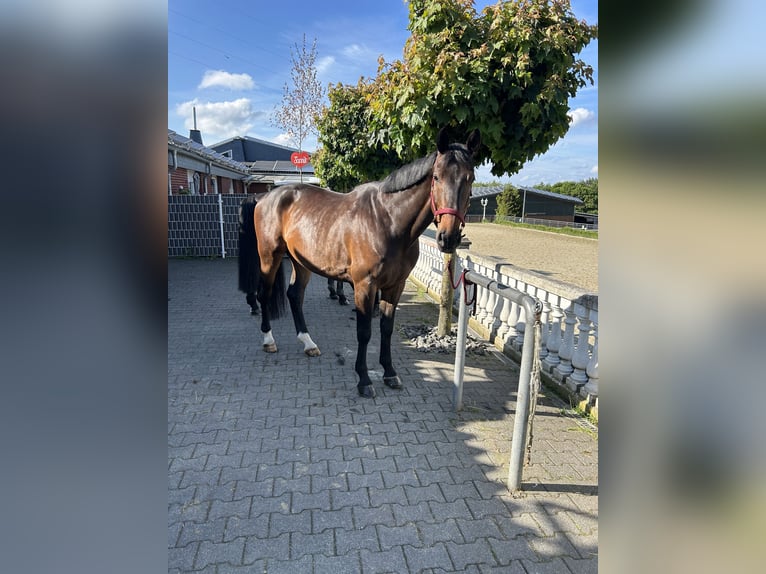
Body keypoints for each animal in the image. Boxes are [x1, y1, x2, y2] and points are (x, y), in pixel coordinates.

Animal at [240, 129, 480, 400]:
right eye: (437, 177)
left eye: (470, 178)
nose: (448, 238)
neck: (388, 220)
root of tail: (264, 197)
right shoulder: (365, 285)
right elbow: (364, 333)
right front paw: (364, 379)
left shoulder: (394, 286)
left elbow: (386, 329)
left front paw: (389, 373)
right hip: (269, 257)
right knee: (264, 293)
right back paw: (269, 341)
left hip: (301, 262)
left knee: (294, 295)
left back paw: (308, 343)